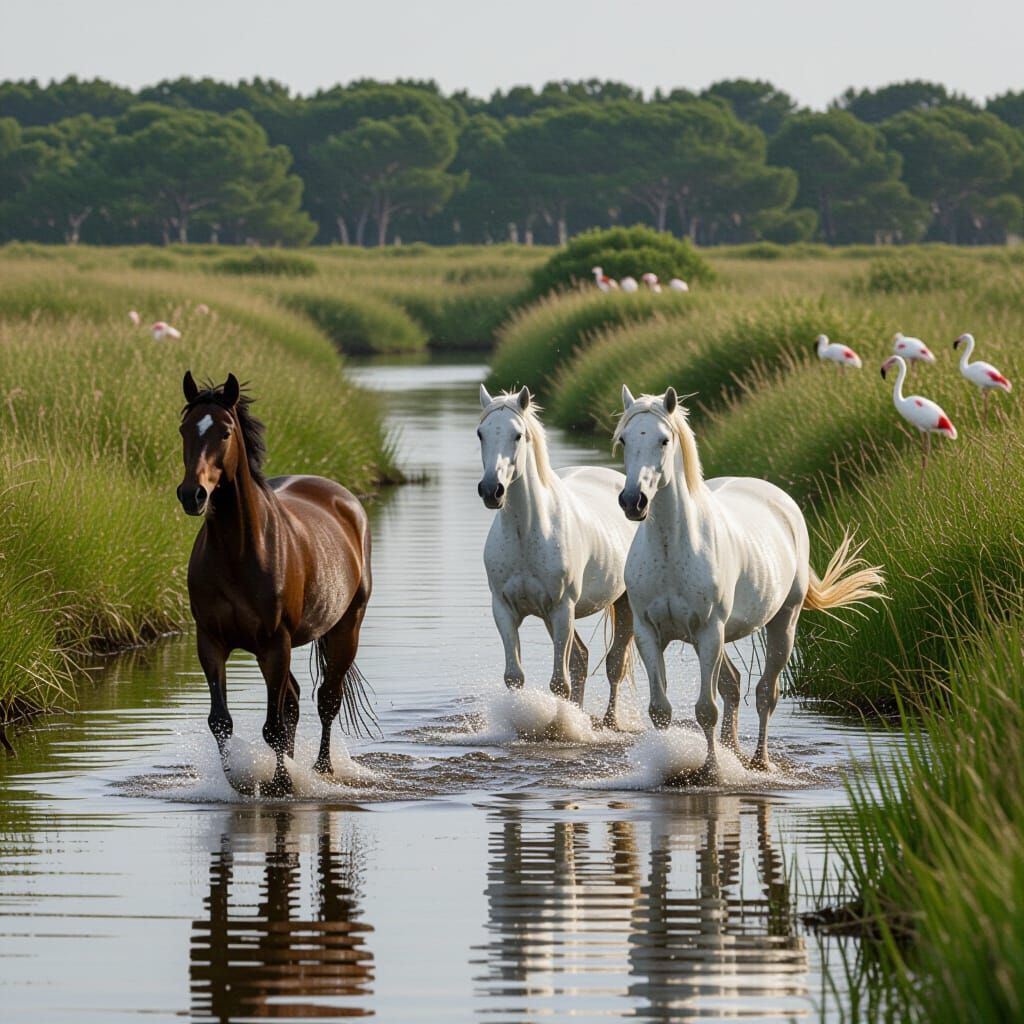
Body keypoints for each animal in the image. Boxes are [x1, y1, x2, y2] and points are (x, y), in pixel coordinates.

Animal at [176, 371, 375, 796]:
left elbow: (274, 725)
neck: (238, 552)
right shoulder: (210, 642)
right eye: (185, 428)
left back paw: (321, 770)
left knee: (326, 699)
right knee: (296, 701)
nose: (192, 494)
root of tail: (345, 499)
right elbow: (221, 721)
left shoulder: (274, 643)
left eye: (225, 431)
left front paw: (281, 786)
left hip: (345, 628)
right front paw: (237, 783)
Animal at [477, 385, 637, 726]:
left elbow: (559, 683)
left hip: (623, 602)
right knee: (581, 659)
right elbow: (515, 677)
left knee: (614, 664)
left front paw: (559, 729)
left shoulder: (562, 608)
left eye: (518, 435)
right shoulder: (505, 609)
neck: (526, 533)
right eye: (481, 433)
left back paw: (609, 723)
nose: (491, 490)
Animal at [613, 386, 883, 779]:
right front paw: (666, 766)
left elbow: (705, 710)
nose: (633, 501)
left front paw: (711, 772)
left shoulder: (709, 631)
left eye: (664, 440)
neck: (670, 548)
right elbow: (660, 709)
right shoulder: (649, 632)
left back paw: (759, 761)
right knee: (733, 684)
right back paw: (736, 754)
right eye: (624, 439)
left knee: (765, 693)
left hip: (782, 623)